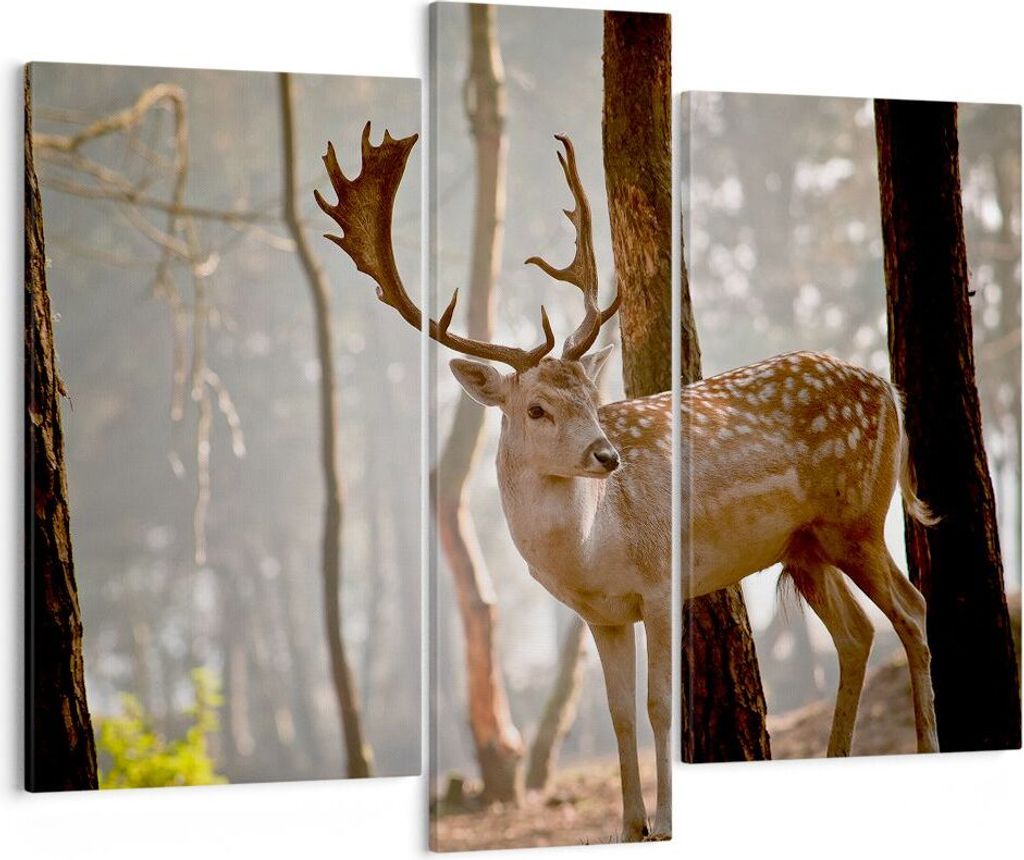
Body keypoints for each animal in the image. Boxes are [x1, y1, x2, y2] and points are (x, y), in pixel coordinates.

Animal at [315, 124, 939, 842]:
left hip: (855, 515)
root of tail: (889, 389)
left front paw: (663, 820)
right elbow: (616, 711)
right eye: (537, 408)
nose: (607, 455)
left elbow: (659, 703)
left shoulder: (662, 585)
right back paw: (838, 757)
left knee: (911, 610)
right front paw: (629, 822)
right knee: (858, 633)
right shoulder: (602, 615)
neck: (592, 552)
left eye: (592, 395)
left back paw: (926, 745)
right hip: (805, 544)